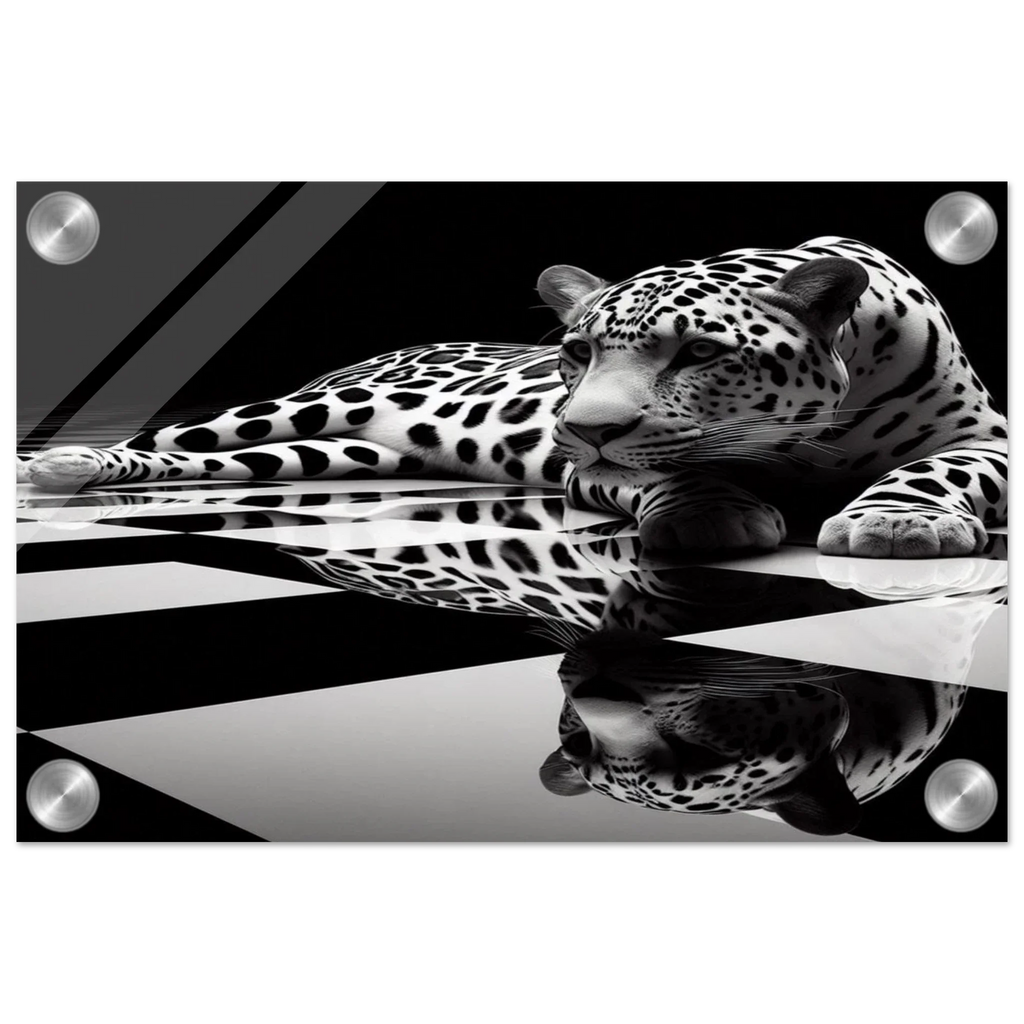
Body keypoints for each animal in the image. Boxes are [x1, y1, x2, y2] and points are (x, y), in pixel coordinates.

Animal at [19, 237, 1008, 559]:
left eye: (697, 351)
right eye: (575, 353)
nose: (582, 426)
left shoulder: (987, 440)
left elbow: (938, 470)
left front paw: (898, 522)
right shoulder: (587, 473)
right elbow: (668, 471)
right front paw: (710, 512)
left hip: (333, 453)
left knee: (228, 463)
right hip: (297, 413)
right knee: (178, 438)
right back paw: (63, 466)